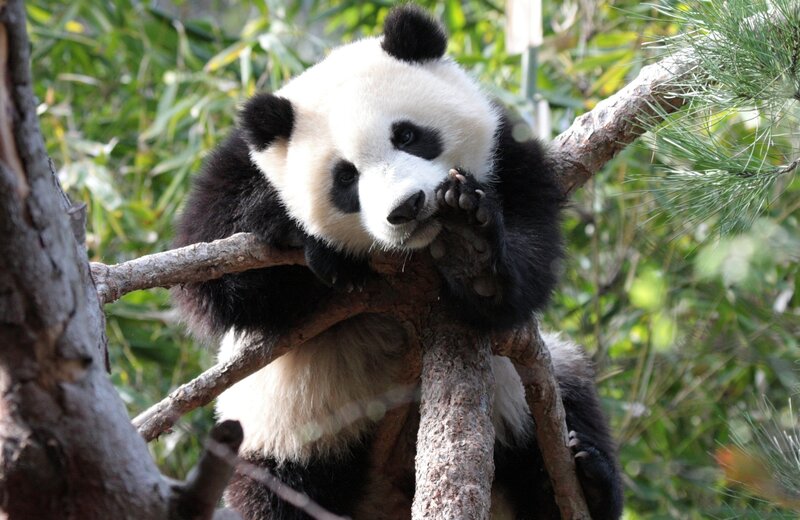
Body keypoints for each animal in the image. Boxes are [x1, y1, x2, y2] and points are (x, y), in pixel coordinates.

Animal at [173, 5, 622, 520]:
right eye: (345, 178)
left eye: (407, 135)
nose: (407, 207)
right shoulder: (236, 170)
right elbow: (214, 285)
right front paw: (310, 241)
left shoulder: (505, 157)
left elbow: (528, 260)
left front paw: (474, 254)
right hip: (278, 433)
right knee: (276, 494)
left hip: (523, 403)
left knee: (567, 398)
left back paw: (585, 480)